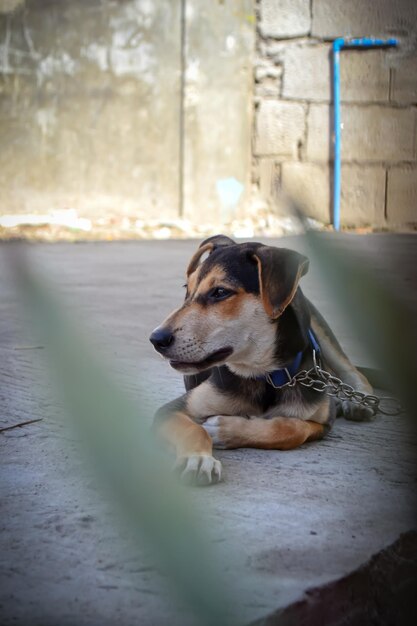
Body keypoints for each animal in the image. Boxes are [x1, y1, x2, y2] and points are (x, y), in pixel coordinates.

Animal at [149, 234, 370, 482]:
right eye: (187, 289)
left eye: (220, 292)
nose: (156, 339)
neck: (265, 375)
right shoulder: (171, 410)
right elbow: (194, 429)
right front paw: (197, 459)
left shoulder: (322, 422)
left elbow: (292, 429)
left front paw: (225, 429)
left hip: (318, 325)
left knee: (350, 369)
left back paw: (357, 400)